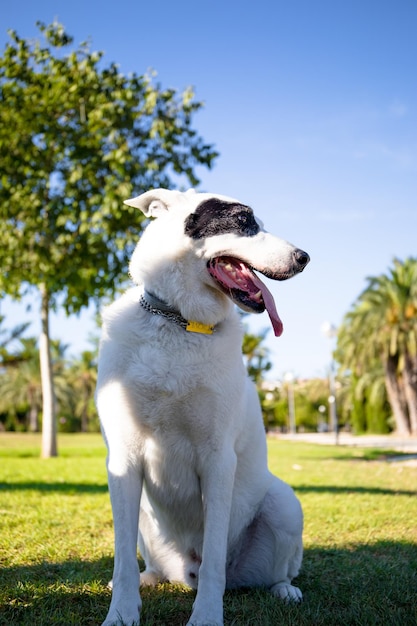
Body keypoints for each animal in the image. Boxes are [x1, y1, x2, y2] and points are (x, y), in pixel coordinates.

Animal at [95, 188, 308, 620]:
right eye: (244, 221)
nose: (304, 257)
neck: (177, 322)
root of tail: (185, 570)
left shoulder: (217, 459)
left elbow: (213, 562)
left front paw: (207, 615)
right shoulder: (123, 460)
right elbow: (122, 559)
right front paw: (121, 613)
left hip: (285, 505)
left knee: (272, 571)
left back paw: (284, 589)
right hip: (145, 518)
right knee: (148, 565)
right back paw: (148, 579)